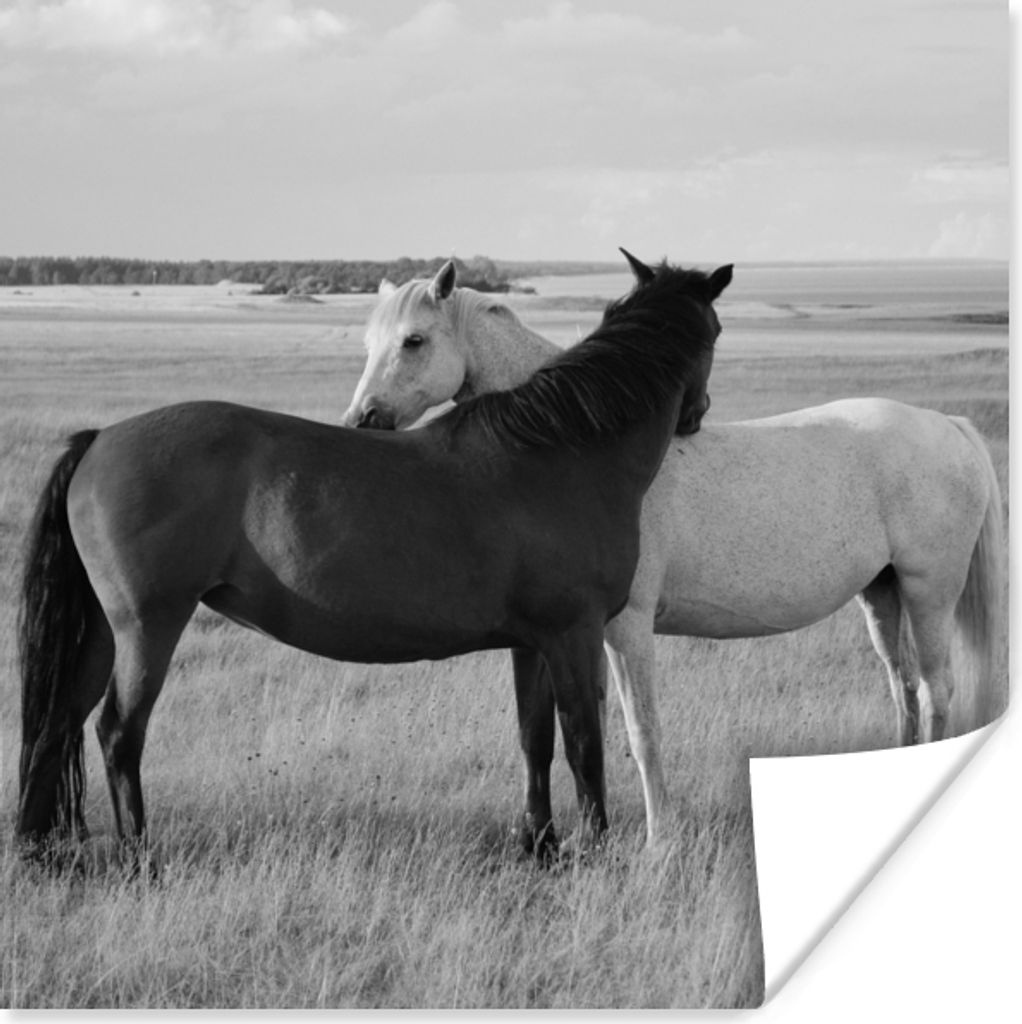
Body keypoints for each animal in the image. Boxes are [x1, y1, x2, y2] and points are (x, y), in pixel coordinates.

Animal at [16, 255, 722, 869]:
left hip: (101, 633)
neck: (562, 450)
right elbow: (584, 743)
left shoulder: (533, 642)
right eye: (715, 331)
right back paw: (141, 861)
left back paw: (37, 851)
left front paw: (541, 847)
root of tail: (99, 440)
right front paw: (595, 850)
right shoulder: (574, 635)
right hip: (148, 627)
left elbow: (536, 741)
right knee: (117, 732)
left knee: (56, 724)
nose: (696, 416)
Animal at [343, 254, 1007, 851]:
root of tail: (948, 425)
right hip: (882, 593)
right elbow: (582, 726)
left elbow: (641, 731)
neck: (579, 444)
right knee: (903, 687)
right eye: (369, 340)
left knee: (936, 690)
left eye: (414, 340)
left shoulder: (627, 628)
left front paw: (658, 838)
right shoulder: (579, 634)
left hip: (929, 591)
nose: (361, 420)